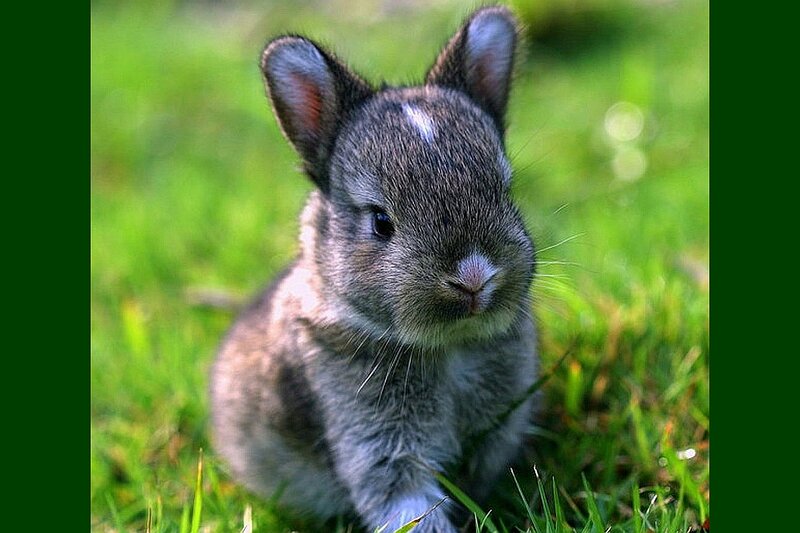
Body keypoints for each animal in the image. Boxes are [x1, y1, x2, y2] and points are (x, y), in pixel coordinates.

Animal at [210, 6, 539, 533]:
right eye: (381, 221)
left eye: (504, 192)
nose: (473, 277)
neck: (449, 347)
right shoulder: (378, 444)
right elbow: (405, 500)